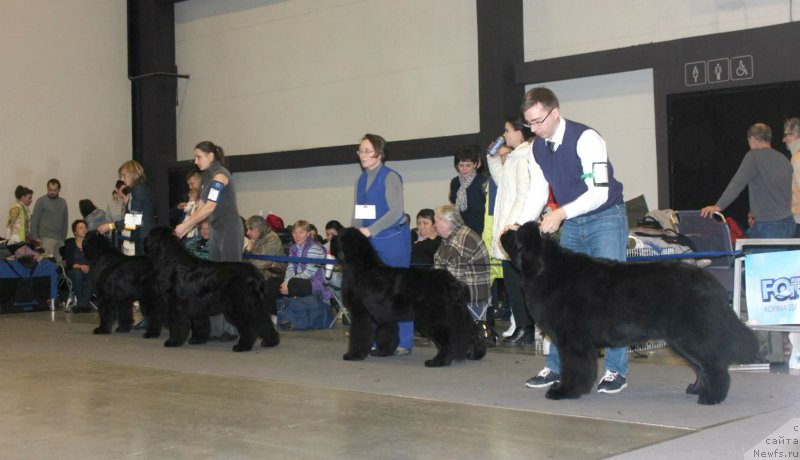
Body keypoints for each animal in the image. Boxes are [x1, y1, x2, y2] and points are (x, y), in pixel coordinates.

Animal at [145, 226, 282, 352]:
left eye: (150, 233)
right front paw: (197, 340)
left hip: (239, 306)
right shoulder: (197, 306)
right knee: (263, 321)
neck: (172, 262)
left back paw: (242, 346)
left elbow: (177, 325)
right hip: (254, 304)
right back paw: (270, 342)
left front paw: (173, 341)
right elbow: (199, 324)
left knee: (248, 326)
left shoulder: (176, 305)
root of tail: (255, 273)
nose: (144, 239)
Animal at [334, 226, 484, 366]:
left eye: (339, 237)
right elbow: (386, 333)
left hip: (434, 318)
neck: (361, 264)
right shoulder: (385, 315)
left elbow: (358, 335)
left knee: (448, 340)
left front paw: (354, 355)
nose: (332, 239)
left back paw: (439, 361)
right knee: (472, 332)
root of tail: (450, 282)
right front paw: (383, 351)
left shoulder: (360, 312)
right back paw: (475, 354)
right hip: (460, 315)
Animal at [504, 221, 760, 404]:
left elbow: (574, 368)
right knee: (701, 366)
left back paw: (711, 397)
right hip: (683, 337)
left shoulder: (573, 340)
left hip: (691, 334)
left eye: (516, 234)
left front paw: (565, 391)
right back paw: (696, 389)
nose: (504, 230)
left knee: (713, 363)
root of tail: (710, 282)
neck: (544, 268)